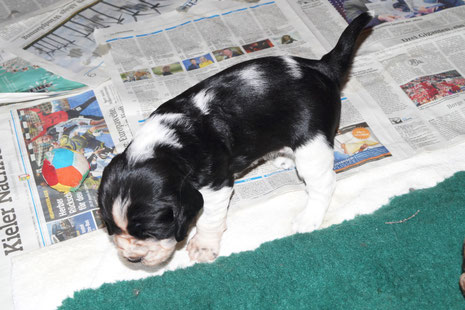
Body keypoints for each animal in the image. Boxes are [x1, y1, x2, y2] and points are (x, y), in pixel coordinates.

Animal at [99, 13, 372, 266]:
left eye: (152, 231)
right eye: (112, 227)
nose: (132, 259)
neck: (168, 145)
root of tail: (321, 67)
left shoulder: (216, 186)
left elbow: (209, 220)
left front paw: (203, 247)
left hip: (312, 145)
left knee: (324, 183)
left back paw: (309, 218)